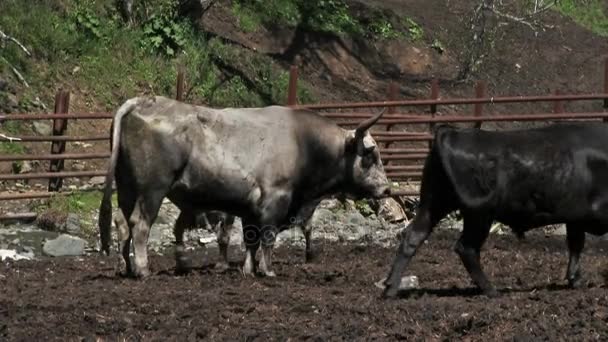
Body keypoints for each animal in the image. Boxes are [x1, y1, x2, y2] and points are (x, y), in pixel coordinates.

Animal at [97, 95, 388, 276]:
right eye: (370, 154)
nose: (386, 189)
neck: (303, 142)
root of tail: (144, 101)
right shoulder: (275, 201)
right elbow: (267, 238)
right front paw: (268, 270)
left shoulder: (250, 209)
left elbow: (251, 240)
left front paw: (249, 269)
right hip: (152, 190)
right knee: (140, 225)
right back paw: (143, 269)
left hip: (126, 188)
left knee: (121, 223)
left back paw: (126, 266)